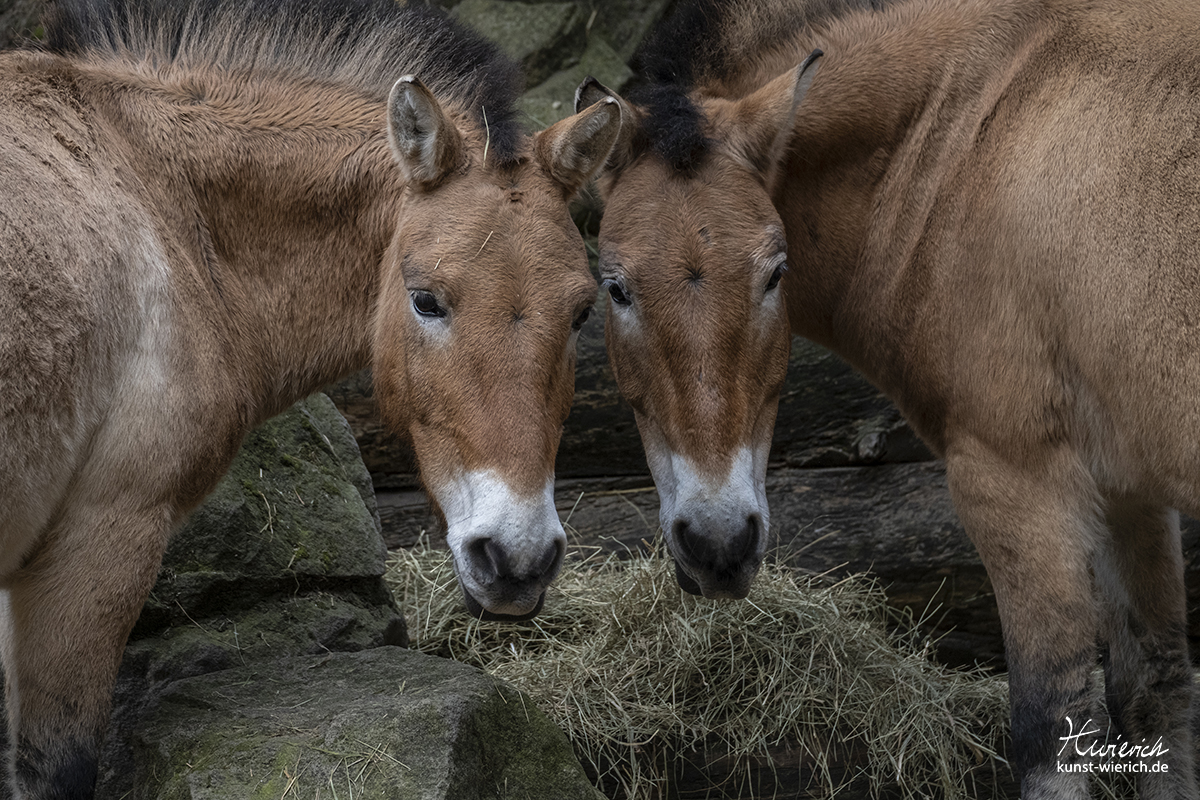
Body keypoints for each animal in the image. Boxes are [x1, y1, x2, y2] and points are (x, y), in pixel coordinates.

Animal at [585, 0, 1200, 796]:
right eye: (616, 287)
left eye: (775, 273)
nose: (718, 543)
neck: (972, 127)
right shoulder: (1130, 493)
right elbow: (1155, 696)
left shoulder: (1015, 484)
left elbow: (1050, 722)